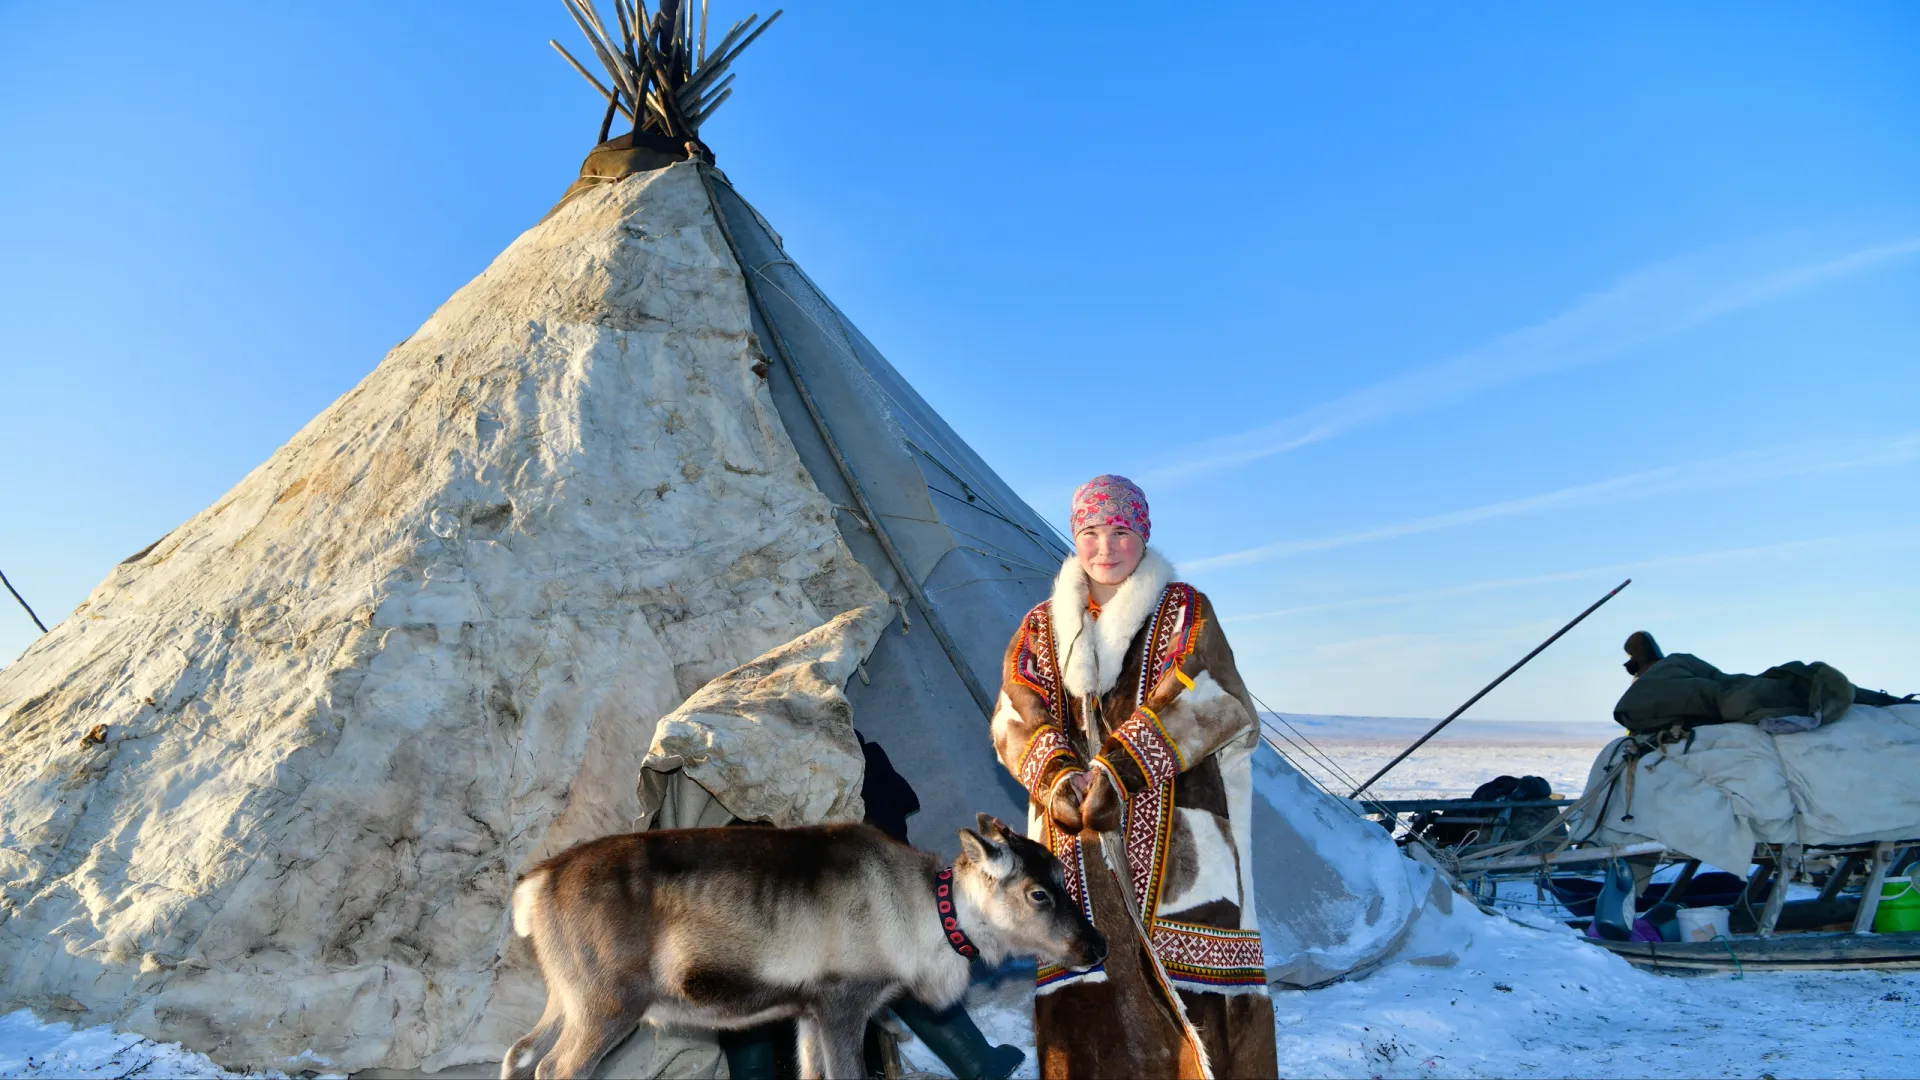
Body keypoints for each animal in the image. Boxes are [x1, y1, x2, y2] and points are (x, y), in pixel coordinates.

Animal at [503, 810, 1105, 1068]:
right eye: (1038, 894)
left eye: (1063, 878)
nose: (1097, 947)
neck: (925, 918)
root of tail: (536, 884)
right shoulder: (843, 1004)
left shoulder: (808, 1012)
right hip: (608, 1005)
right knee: (554, 1067)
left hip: (566, 998)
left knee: (519, 1053)